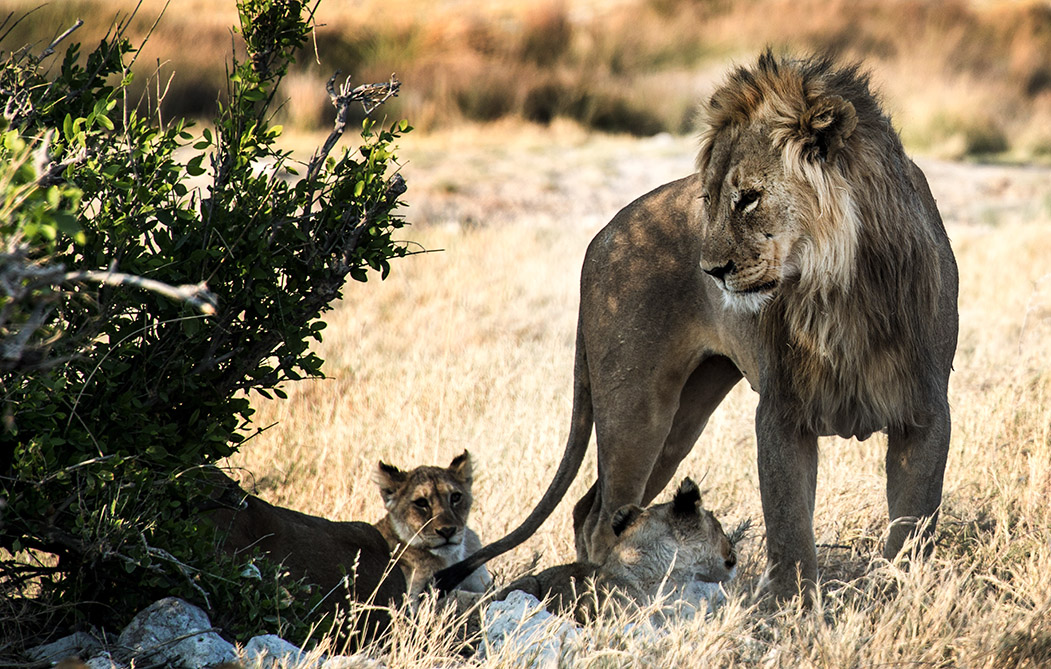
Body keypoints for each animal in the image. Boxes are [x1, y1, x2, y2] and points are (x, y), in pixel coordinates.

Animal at [430, 49, 958, 596]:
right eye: (709, 200)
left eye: (748, 197)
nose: (711, 270)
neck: (839, 290)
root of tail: (602, 236)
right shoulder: (781, 413)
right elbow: (790, 530)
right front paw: (793, 607)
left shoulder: (925, 411)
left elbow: (914, 528)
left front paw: (904, 597)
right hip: (637, 409)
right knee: (601, 516)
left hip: (685, 417)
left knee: (587, 507)